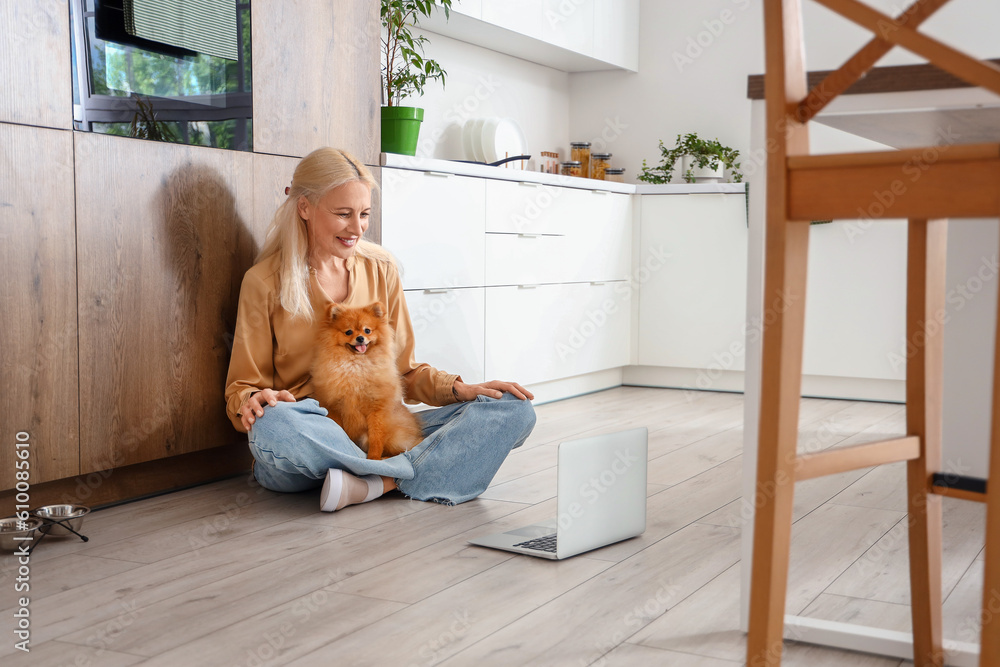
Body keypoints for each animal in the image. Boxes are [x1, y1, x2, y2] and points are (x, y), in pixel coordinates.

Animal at [310, 302, 424, 460]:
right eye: (348, 332)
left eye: (367, 330)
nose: (360, 338)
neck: (357, 366)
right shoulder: (334, 407)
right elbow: (340, 430)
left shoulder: (377, 409)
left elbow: (376, 439)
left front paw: (374, 458)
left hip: (395, 439)